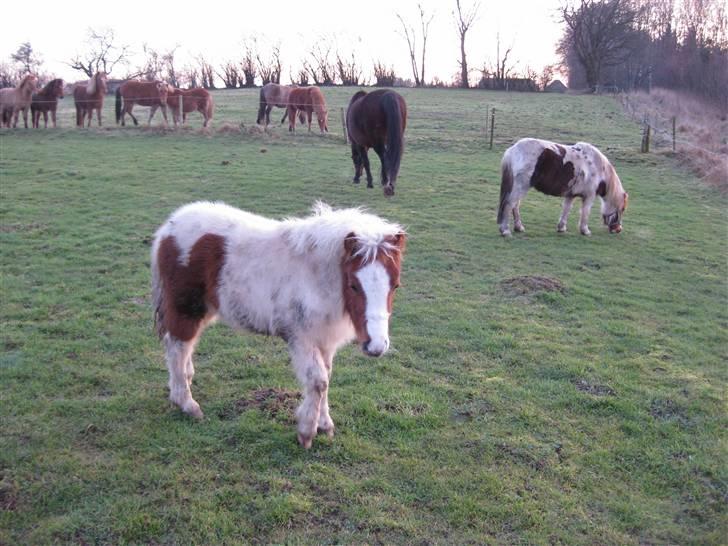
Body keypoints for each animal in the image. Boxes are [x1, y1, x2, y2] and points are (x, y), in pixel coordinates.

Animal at [151, 200, 406, 446]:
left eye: (395, 285)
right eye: (353, 285)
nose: (376, 346)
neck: (316, 276)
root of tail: (168, 228)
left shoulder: (324, 337)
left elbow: (327, 376)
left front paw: (324, 425)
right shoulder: (301, 337)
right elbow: (318, 381)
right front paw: (306, 433)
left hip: (203, 309)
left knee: (184, 346)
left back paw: (186, 380)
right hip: (186, 308)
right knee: (177, 346)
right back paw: (186, 403)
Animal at [498, 137, 628, 235]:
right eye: (622, 208)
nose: (618, 229)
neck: (597, 167)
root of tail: (513, 149)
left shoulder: (570, 195)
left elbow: (566, 209)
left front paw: (561, 228)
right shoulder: (589, 196)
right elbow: (585, 212)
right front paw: (585, 231)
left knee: (515, 206)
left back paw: (518, 227)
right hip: (521, 187)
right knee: (510, 204)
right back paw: (505, 230)